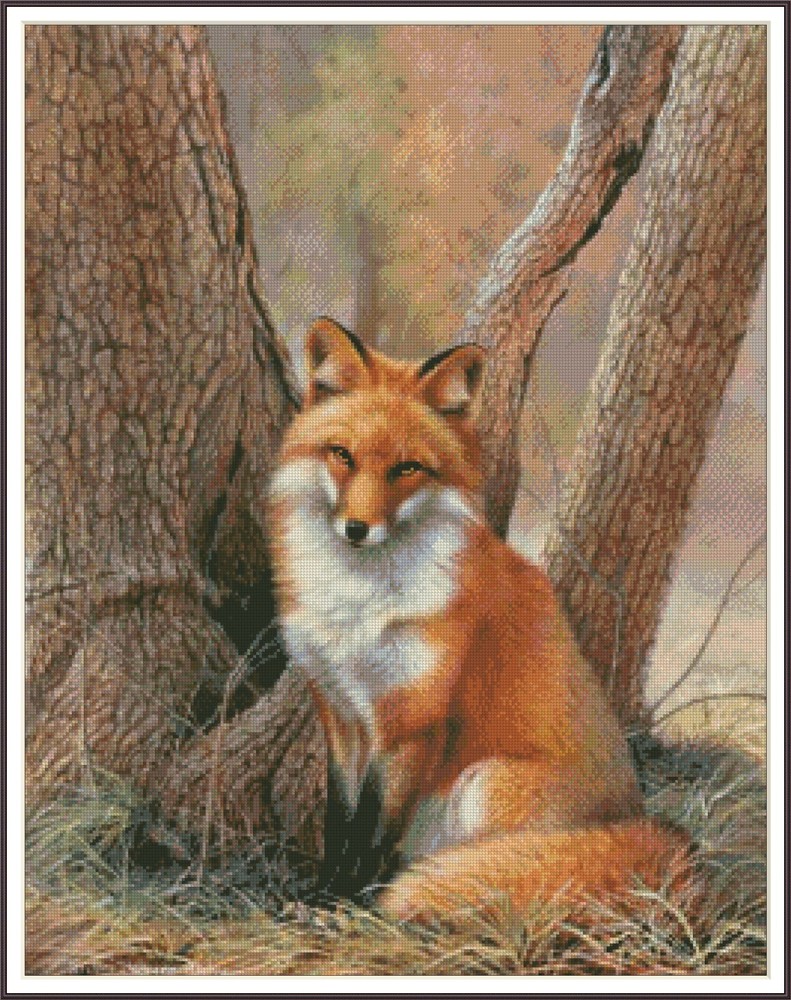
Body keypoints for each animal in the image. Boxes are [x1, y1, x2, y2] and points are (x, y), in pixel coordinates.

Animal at [268, 316, 692, 924]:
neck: (359, 605)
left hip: (483, 784)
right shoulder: (341, 714)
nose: (356, 529)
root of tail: (638, 822)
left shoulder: (412, 721)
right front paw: (323, 895)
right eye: (342, 455)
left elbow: (374, 831)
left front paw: (351, 905)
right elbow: (342, 822)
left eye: (407, 469)